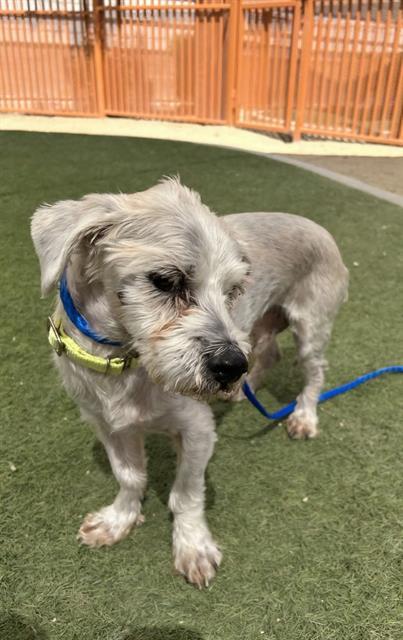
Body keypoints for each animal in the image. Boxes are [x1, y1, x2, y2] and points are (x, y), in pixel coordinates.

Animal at [31, 178, 348, 588]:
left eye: (233, 291)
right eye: (166, 281)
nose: (231, 367)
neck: (126, 365)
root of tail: (321, 228)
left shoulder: (197, 430)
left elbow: (185, 493)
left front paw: (193, 547)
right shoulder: (109, 426)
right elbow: (129, 476)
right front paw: (117, 521)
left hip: (310, 326)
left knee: (315, 372)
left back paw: (304, 416)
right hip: (260, 327)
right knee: (269, 353)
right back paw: (246, 389)